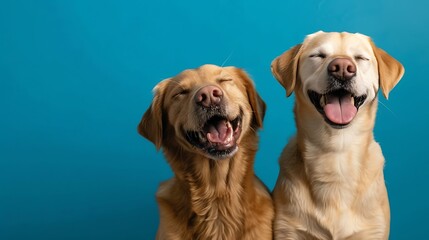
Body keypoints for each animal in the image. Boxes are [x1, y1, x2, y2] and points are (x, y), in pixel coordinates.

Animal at [270, 31, 404, 239]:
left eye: (360, 58)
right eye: (318, 55)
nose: (342, 68)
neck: (337, 152)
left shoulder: (373, 231)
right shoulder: (288, 230)